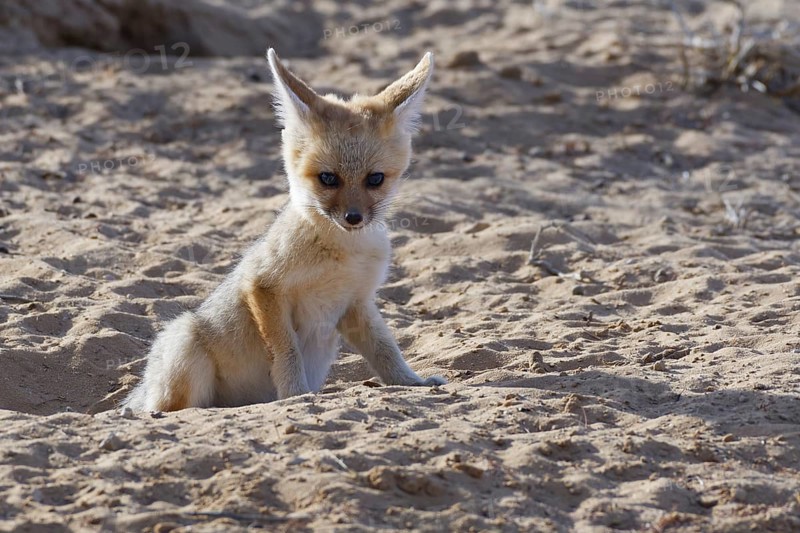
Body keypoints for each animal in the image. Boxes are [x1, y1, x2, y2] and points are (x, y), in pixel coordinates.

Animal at [122, 49, 446, 412]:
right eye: (328, 178)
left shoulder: (357, 302)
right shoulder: (262, 286)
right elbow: (287, 350)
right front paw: (296, 394)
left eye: (375, 179)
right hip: (185, 337)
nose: (353, 218)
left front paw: (412, 382)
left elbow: (385, 348)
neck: (343, 255)